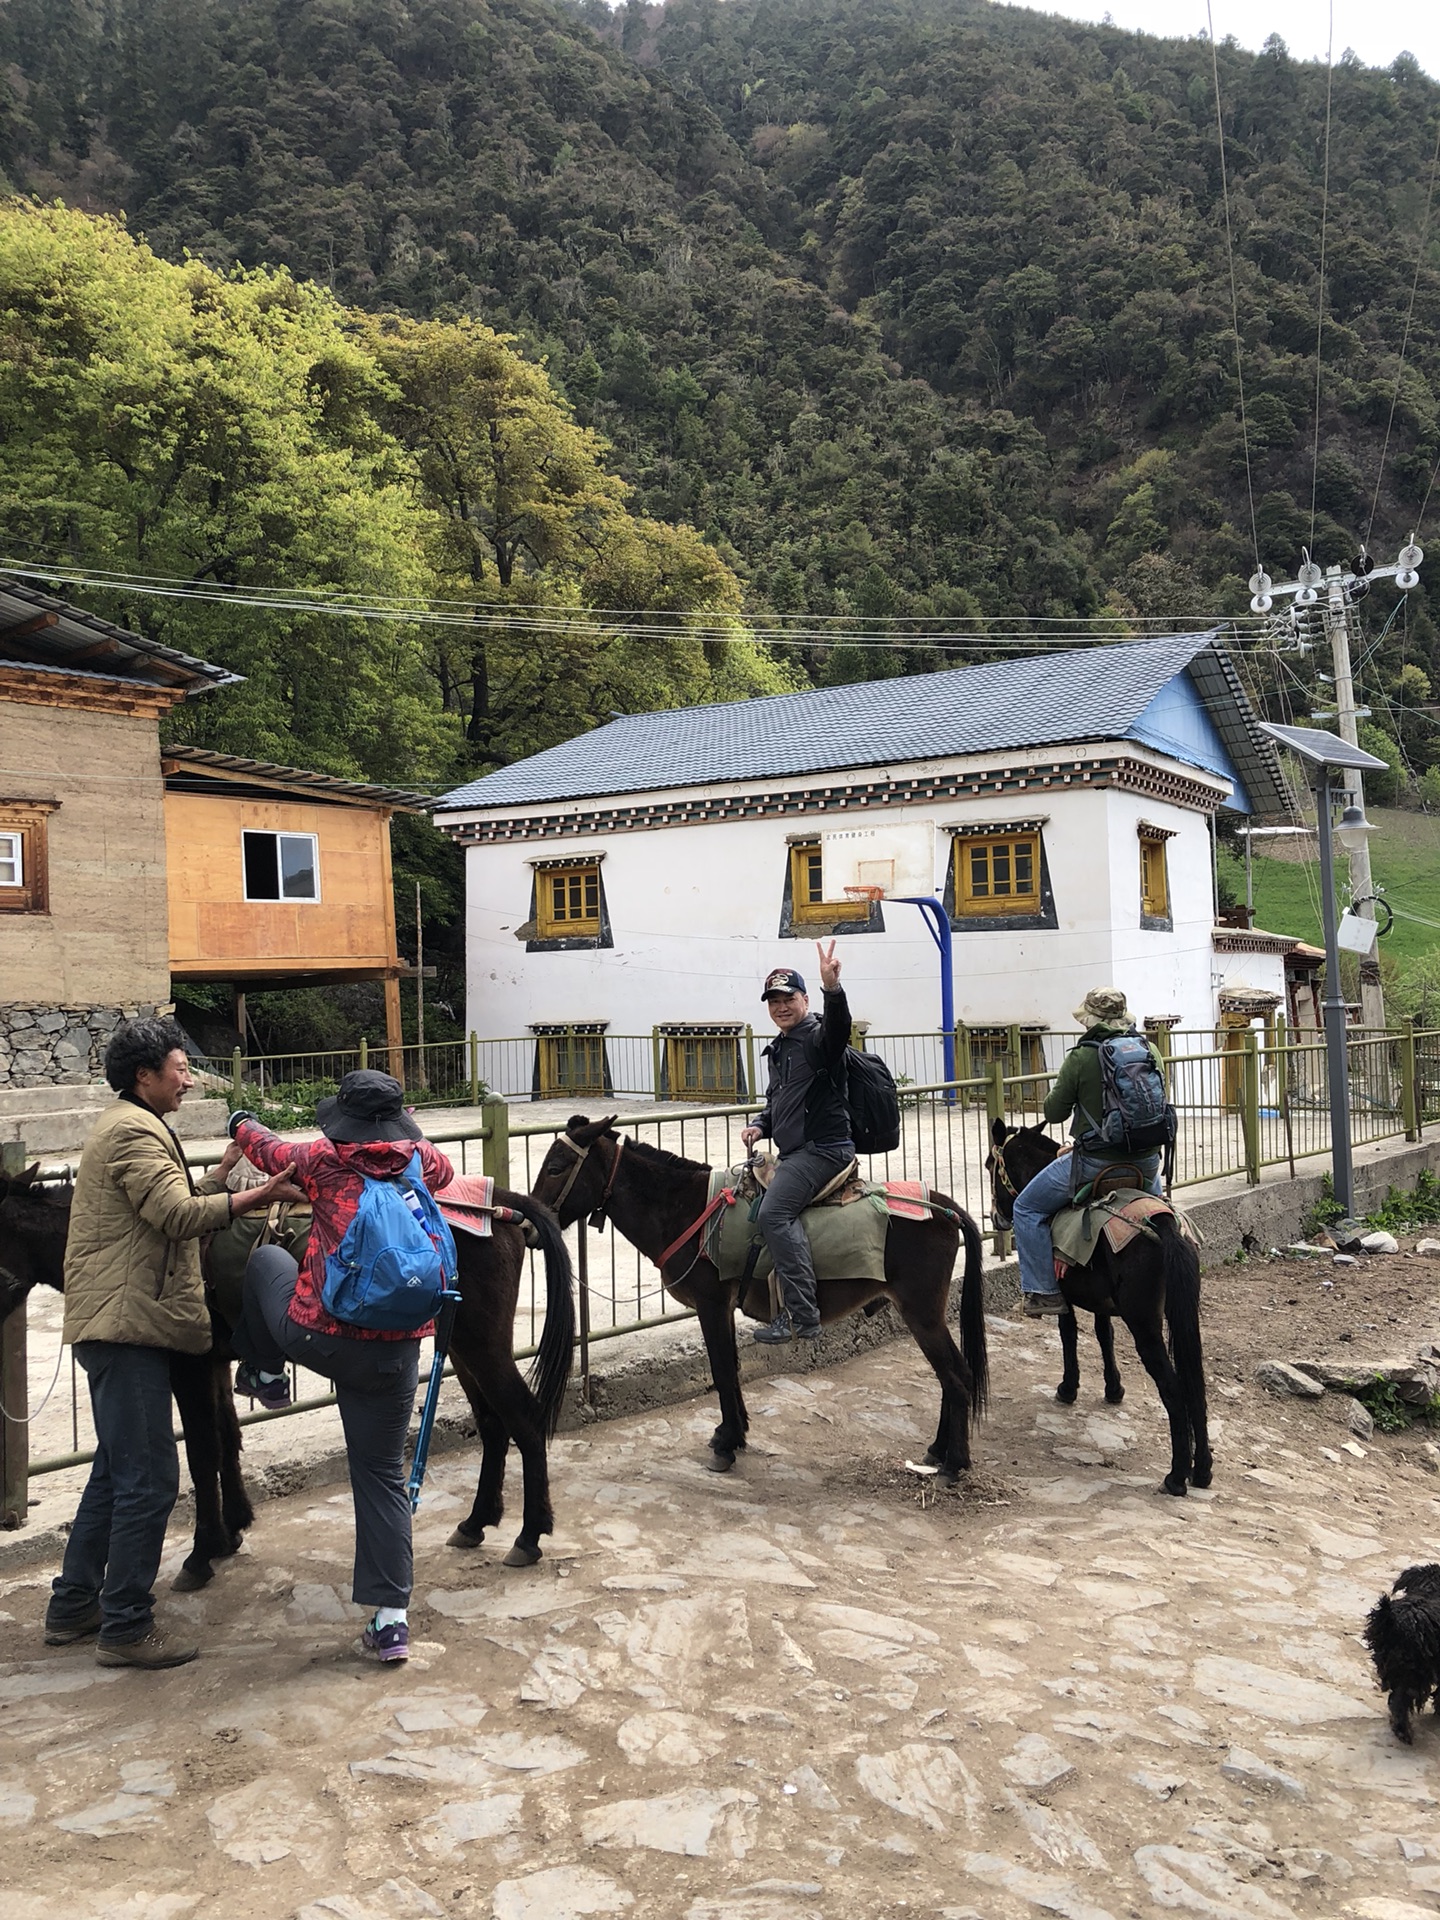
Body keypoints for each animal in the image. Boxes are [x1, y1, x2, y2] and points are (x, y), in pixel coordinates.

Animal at [1, 1159, 576, 1582]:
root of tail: (500, 1204)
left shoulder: (189, 1368)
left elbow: (202, 1450)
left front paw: (201, 1553)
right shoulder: (214, 1366)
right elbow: (226, 1438)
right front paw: (233, 1529)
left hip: (480, 1345)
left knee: (524, 1420)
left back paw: (529, 1535)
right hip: (460, 1346)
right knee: (494, 1425)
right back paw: (477, 1522)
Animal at [533, 1121, 990, 1474]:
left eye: (555, 1167)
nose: (530, 1224)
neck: (686, 1210)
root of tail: (944, 1207)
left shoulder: (712, 1305)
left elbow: (721, 1370)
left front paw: (726, 1444)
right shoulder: (719, 1310)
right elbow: (731, 1370)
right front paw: (733, 1433)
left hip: (922, 1313)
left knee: (956, 1376)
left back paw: (954, 1463)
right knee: (950, 1377)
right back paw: (937, 1451)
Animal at [990, 1121, 1213, 1497]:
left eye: (989, 1167)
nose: (996, 1217)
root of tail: (1165, 1227)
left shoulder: (1063, 1295)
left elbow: (1068, 1335)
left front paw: (1068, 1388)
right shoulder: (1101, 1302)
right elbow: (1103, 1334)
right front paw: (1113, 1389)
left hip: (1145, 1325)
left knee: (1173, 1388)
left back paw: (1176, 1476)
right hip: (1181, 1316)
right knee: (1193, 1380)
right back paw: (1203, 1471)